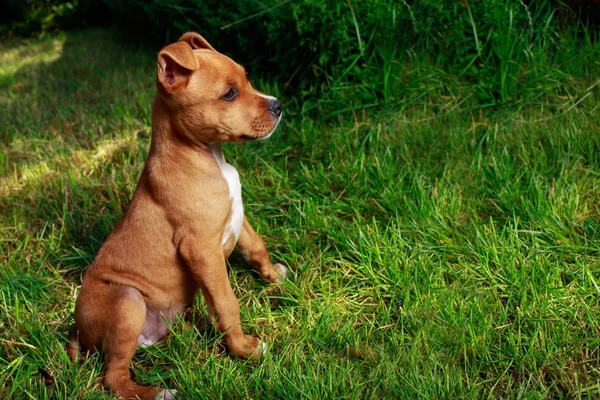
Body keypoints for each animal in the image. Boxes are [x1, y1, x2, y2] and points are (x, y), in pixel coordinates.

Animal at [67, 32, 288, 400]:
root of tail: (77, 330)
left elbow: (256, 246)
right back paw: (158, 392)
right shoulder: (201, 250)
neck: (205, 156)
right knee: (112, 376)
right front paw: (244, 349)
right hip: (127, 301)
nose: (278, 104)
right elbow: (227, 302)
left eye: (247, 79)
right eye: (229, 94)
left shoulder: (236, 219)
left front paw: (273, 276)